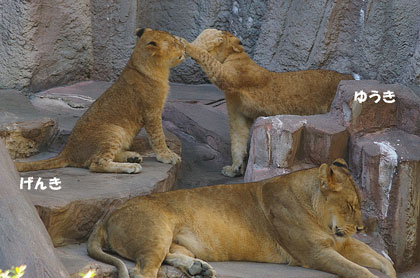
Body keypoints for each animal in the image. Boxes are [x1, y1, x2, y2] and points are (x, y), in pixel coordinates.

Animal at [15, 27, 183, 173]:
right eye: (174, 43)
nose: (183, 46)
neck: (155, 68)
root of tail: (67, 152)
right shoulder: (152, 112)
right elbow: (158, 137)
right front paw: (167, 156)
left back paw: (132, 157)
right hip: (114, 131)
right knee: (97, 163)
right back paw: (131, 166)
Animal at [87, 159, 396, 278]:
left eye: (361, 205)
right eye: (350, 205)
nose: (360, 227)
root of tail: (109, 214)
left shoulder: (342, 242)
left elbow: (382, 261)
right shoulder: (314, 253)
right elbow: (360, 271)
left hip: (171, 240)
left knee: (171, 256)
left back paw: (200, 268)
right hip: (157, 230)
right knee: (143, 270)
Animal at [185, 29, 354, 177]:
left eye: (220, 35)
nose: (218, 31)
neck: (233, 56)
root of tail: (348, 77)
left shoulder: (228, 76)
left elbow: (208, 59)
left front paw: (186, 44)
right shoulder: (238, 114)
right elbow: (237, 142)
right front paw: (235, 168)